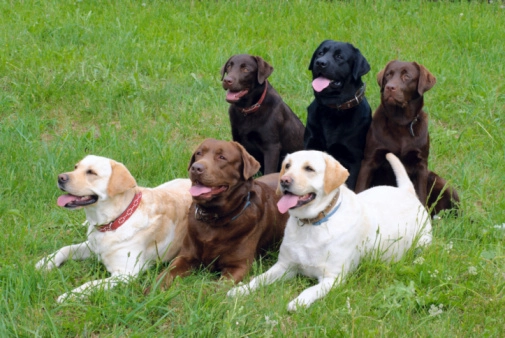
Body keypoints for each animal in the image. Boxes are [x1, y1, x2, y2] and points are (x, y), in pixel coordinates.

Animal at [35, 155, 192, 302]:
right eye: (75, 167)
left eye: (91, 172)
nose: (60, 177)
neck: (114, 221)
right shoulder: (92, 246)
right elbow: (66, 248)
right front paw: (45, 262)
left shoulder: (126, 274)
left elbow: (91, 284)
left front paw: (69, 295)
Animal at [151, 139, 288, 292]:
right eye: (199, 153)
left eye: (222, 157)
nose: (196, 168)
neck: (213, 217)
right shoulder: (185, 256)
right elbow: (166, 274)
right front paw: (152, 290)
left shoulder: (238, 266)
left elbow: (215, 289)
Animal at [227, 151, 430, 312]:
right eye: (287, 166)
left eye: (309, 168)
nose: (284, 181)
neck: (312, 224)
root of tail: (407, 192)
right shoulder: (284, 266)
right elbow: (259, 279)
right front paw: (240, 290)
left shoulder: (333, 278)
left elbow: (310, 290)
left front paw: (298, 302)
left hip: (423, 243)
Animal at [354, 60, 460, 214]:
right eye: (388, 75)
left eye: (407, 76)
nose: (389, 87)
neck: (400, 123)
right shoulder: (369, 160)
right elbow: (360, 187)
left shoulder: (421, 165)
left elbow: (421, 194)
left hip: (439, 182)